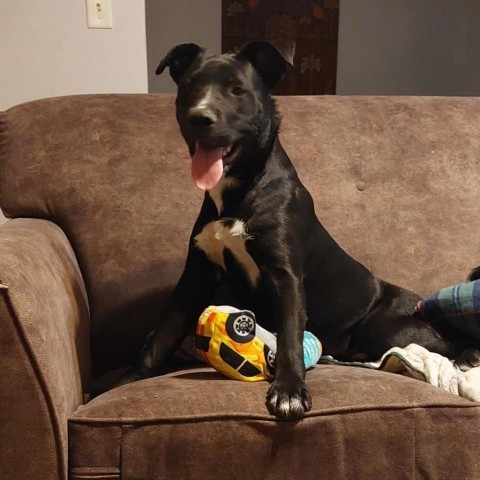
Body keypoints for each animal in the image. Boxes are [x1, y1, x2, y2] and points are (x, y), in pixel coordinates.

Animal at [119, 40, 476, 416]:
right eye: (189, 86)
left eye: (238, 90)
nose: (199, 118)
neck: (239, 190)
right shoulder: (196, 276)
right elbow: (162, 335)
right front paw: (127, 382)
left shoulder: (285, 276)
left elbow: (290, 334)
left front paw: (289, 391)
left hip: (387, 329)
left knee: (448, 345)